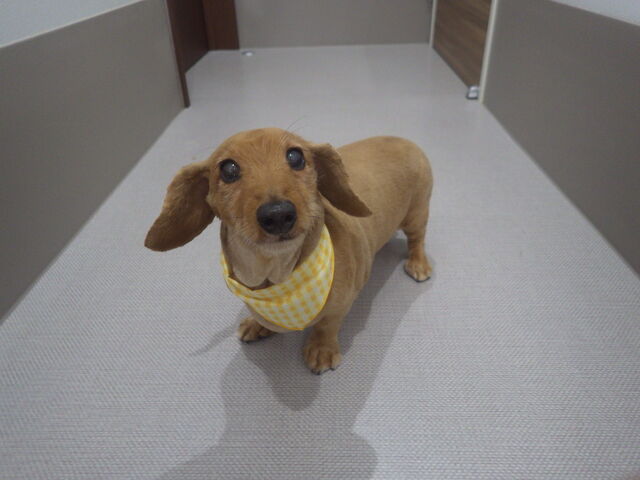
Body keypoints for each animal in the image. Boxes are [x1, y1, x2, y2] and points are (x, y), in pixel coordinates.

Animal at [145, 128, 433, 374]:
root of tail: (404, 140)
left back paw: (418, 264)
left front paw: (322, 349)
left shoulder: (341, 305)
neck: (273, 274)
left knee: (417, 240)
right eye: (228, 169)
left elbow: (328, 325)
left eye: (296, 157)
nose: (278, 214)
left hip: (417, 214)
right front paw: (256, 325)